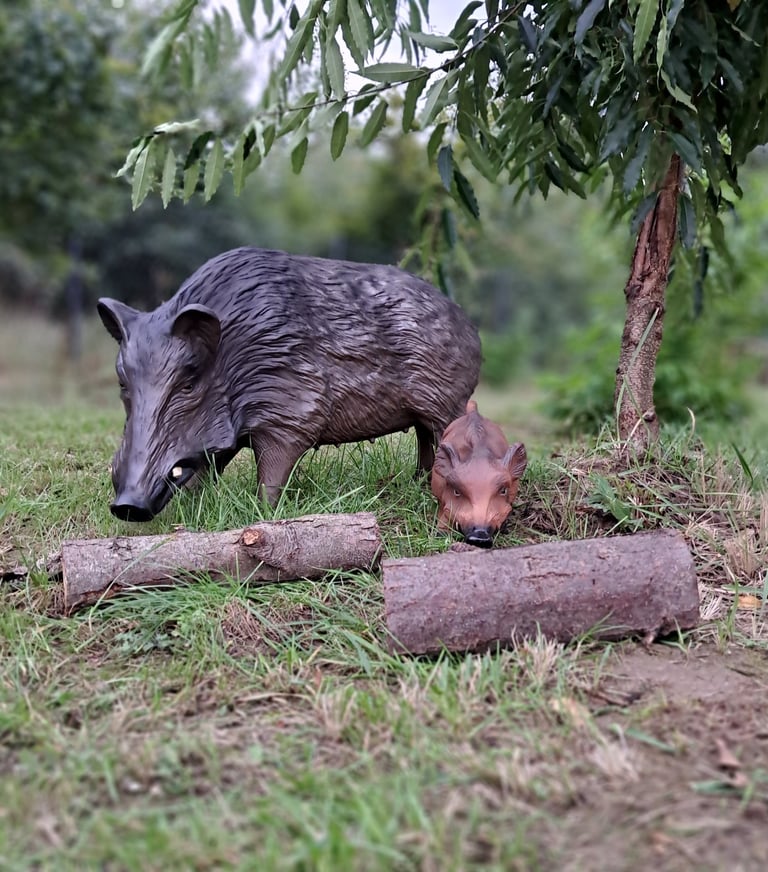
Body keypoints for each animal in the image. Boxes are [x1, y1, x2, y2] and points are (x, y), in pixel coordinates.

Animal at [97, 246, 481, 521]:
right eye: (123, 384)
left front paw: (262, 515)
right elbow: (202, 471)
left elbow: (271, 471)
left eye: (188, 384)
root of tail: (469, 327)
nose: (127, 506)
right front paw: (191, 511)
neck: (237, 361)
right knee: (425, 441)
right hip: (423, 412)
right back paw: (416, 483)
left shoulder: (292, 413)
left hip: (446, 402)